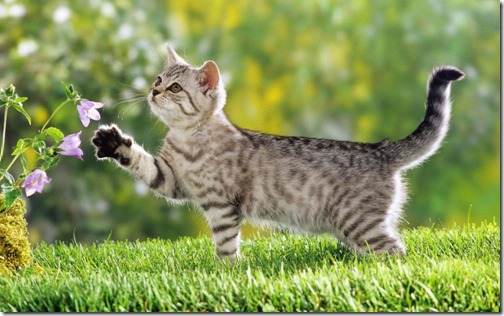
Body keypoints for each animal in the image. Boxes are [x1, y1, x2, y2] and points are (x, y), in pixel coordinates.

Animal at [91, 44, 464, 262]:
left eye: (175, 87)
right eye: (158, 78)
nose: (153, 92)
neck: (187, 139)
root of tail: (381, 149)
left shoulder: (221, 204)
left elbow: (225, 244)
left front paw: (225, 270)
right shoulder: (171, 179)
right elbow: (141, 163)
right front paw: (113, 142)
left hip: (359, 222)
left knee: (398, 253)